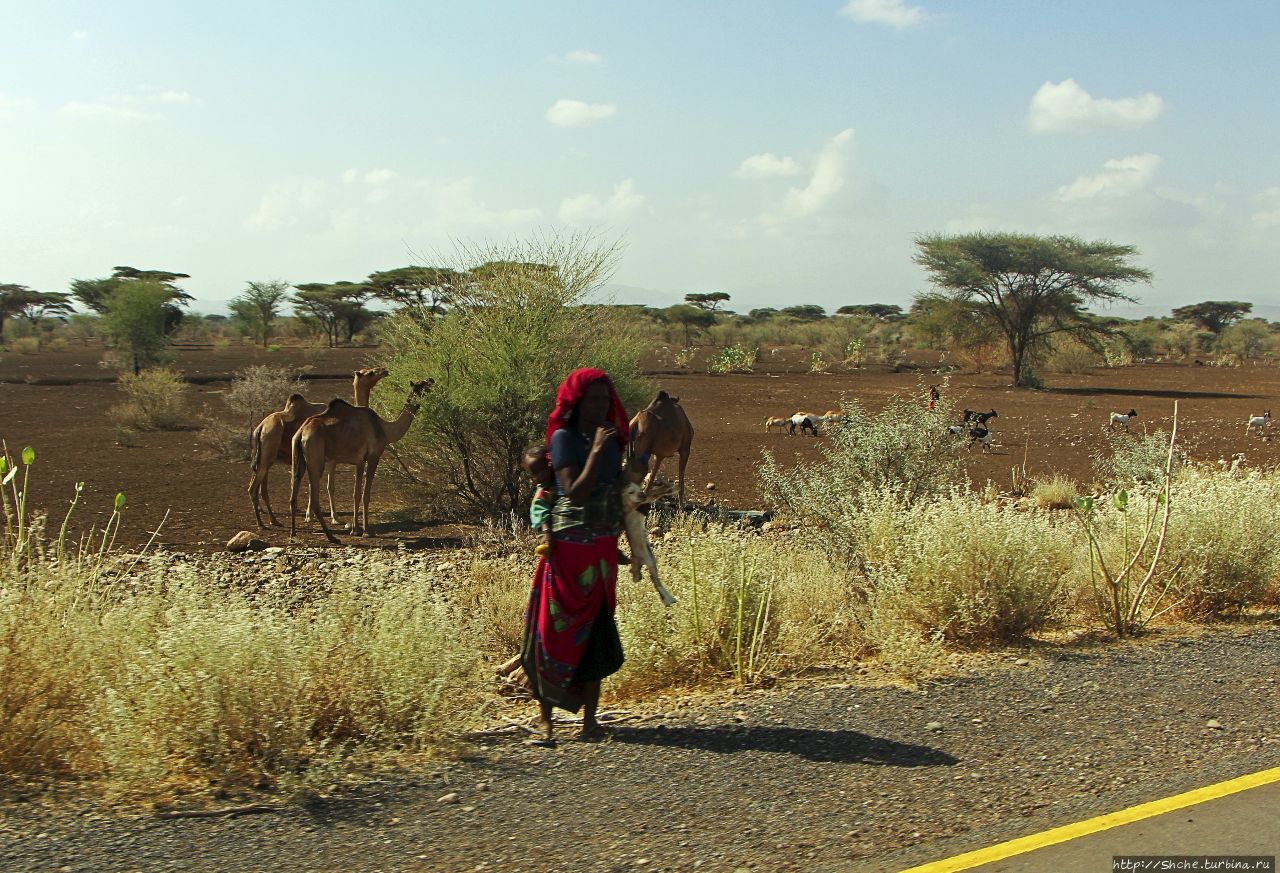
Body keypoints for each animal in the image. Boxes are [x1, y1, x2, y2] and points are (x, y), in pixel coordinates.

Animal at [247, 366, 386, 527]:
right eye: (370, 373)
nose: (384, 370)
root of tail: (260, 427)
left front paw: (313, 515)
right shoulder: (331, 460)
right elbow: (328, 486)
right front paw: (332, 517)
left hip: (262, 456)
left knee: (259, 485)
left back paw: (270, 518)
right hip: (268, 452)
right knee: (256, 486)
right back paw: (264, 521)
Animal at [288, 376, 432, 540]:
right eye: (422, 385)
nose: (432, 382)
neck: (385, 429)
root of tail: (302, 432)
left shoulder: (360, 461)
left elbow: (356, 494)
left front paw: (355, 529)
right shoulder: (374, 456)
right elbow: (366, 494)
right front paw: (367, 531)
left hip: (298, 455)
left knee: (294, 490)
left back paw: (293, 533)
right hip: (315, 456)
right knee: (315, 496)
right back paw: (332, 537)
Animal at [619, 468, 680, 604]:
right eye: (659, 482)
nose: (641, 494)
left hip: (651, 560)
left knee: (651, 577)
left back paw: (669, 599)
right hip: (644, 560)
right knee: (647, 577)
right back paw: (669, 599)